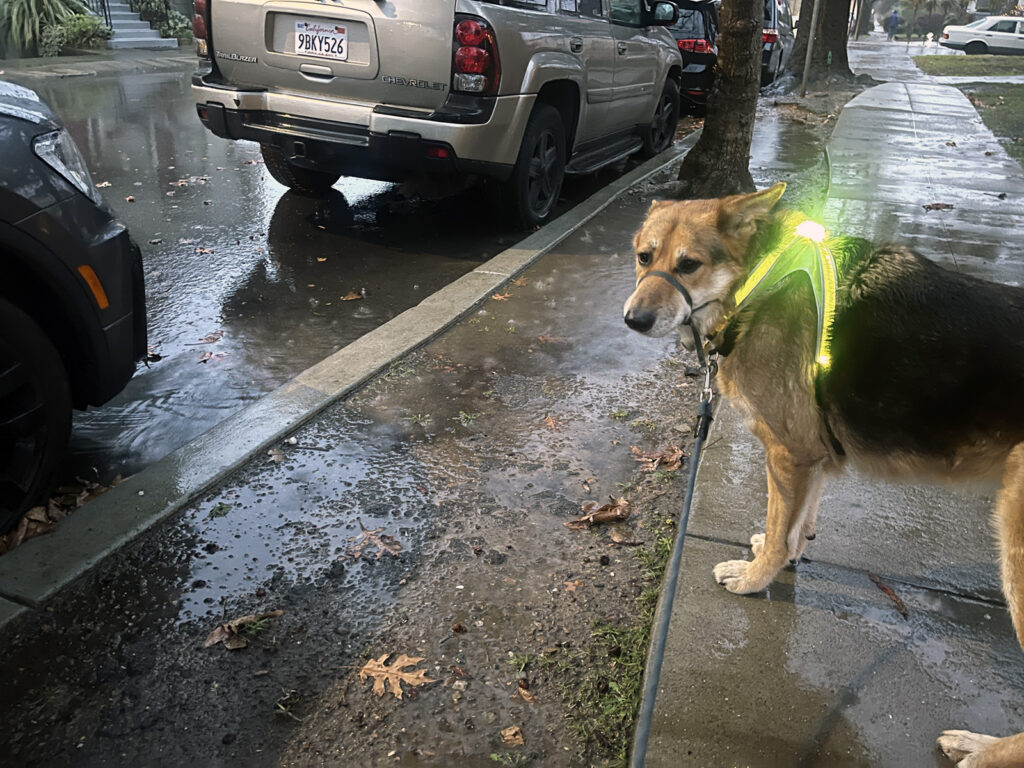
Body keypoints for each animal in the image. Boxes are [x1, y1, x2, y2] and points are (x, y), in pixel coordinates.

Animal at [622, 183, 1024, 765]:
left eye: (689, 264)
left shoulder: (787, 452)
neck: (761, 273)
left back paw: (982, 751)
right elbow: (795, 524)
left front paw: (754, 579)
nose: (633, 320)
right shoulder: (809, 455)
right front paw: (783, 553)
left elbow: (778, 526)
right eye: (644, 257)